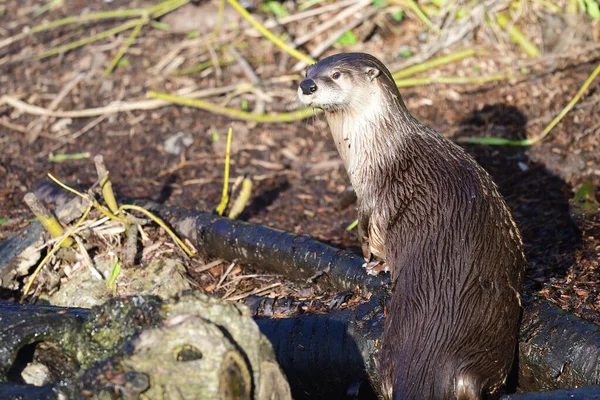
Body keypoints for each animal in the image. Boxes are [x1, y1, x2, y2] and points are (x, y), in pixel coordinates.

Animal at [298, 53, 524, 400]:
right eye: (308, 70)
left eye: (336, 74)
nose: (306, 85)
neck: (376, 147)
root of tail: (436, 359)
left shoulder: (370, 196)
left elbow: (371, 234)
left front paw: (374, 264)